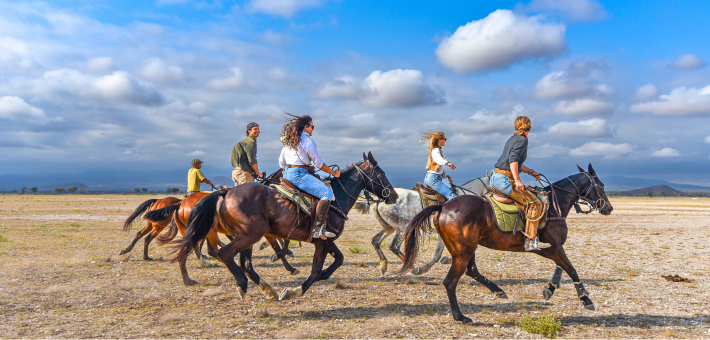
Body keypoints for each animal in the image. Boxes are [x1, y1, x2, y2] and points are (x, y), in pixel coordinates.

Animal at [175, 153, 398, 300]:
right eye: (381, 173)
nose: (393, 195)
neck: (335, 198)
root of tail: (225, 193)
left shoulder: (325, 239)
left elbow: (338, 260)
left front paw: (320, 276)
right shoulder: (322, 243)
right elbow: (315, 270)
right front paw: (294, 290)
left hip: (245, 237)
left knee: (245, 263)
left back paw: (267, 289)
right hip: (250, 235)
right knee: (225, 254)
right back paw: (243, 284)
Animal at [398, 165, 616, 324]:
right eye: (602, 185)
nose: (608, 207)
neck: (556, 206)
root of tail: (443, 206)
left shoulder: (547, 249)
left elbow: (561, 267)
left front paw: (550, 288)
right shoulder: (554, 247)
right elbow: (571, 269)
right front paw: (585, 299)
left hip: (466, 249)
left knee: (471, 270)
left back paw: (497, 290)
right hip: (464, 251)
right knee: (451, 281)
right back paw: (461, 316)